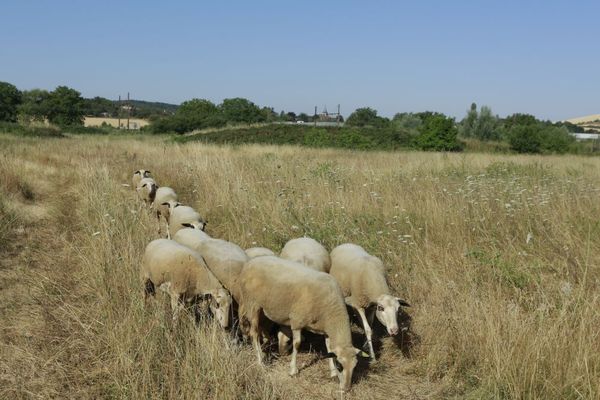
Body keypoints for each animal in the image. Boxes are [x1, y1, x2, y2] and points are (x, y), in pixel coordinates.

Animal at [239, 255, 366, 392]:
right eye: (340, 365)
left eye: (354, 366)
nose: (346, 388)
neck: (331, 312)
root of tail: (250, 263)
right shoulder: (297, 321)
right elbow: (297, 344)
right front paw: (293, 370)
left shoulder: (325, 329)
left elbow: (329, 348)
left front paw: (332, 372)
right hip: (252, 304)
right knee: (254, 333)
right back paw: (260, 361)